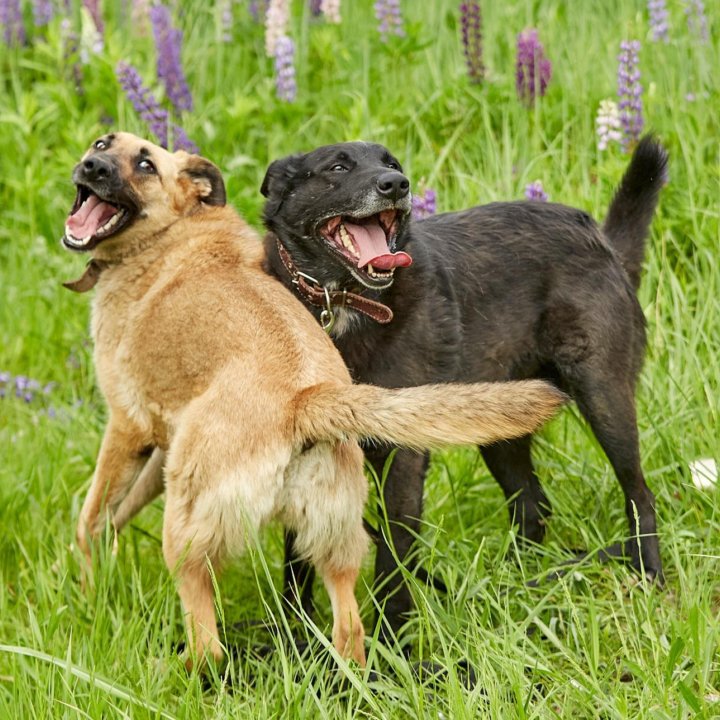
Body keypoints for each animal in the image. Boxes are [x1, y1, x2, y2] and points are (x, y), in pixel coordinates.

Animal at [62, 134, 564, 668]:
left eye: (145, 164)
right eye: (101, 143)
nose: (92, 166)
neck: (173, 231)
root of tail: (307, 400)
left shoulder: (127, 426)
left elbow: (89, 520)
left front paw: (89, 593)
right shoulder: (163, 445)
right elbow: (116, 515)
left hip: (187, 535)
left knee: (209, 646)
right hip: (332, 541)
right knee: (350, 632)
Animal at [260, 136, 668, 640]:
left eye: (391, 163)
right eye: (338, 167)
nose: (397, 184)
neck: (341, 306)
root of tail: (601, 238)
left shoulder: (403, 455)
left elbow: (393, 561)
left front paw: (392, 645)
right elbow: (296, 562)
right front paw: (295, 640)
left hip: (604, 398)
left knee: (638, 494)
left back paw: (647, 576)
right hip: (502, 424)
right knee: (532, 505)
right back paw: (510, 588)